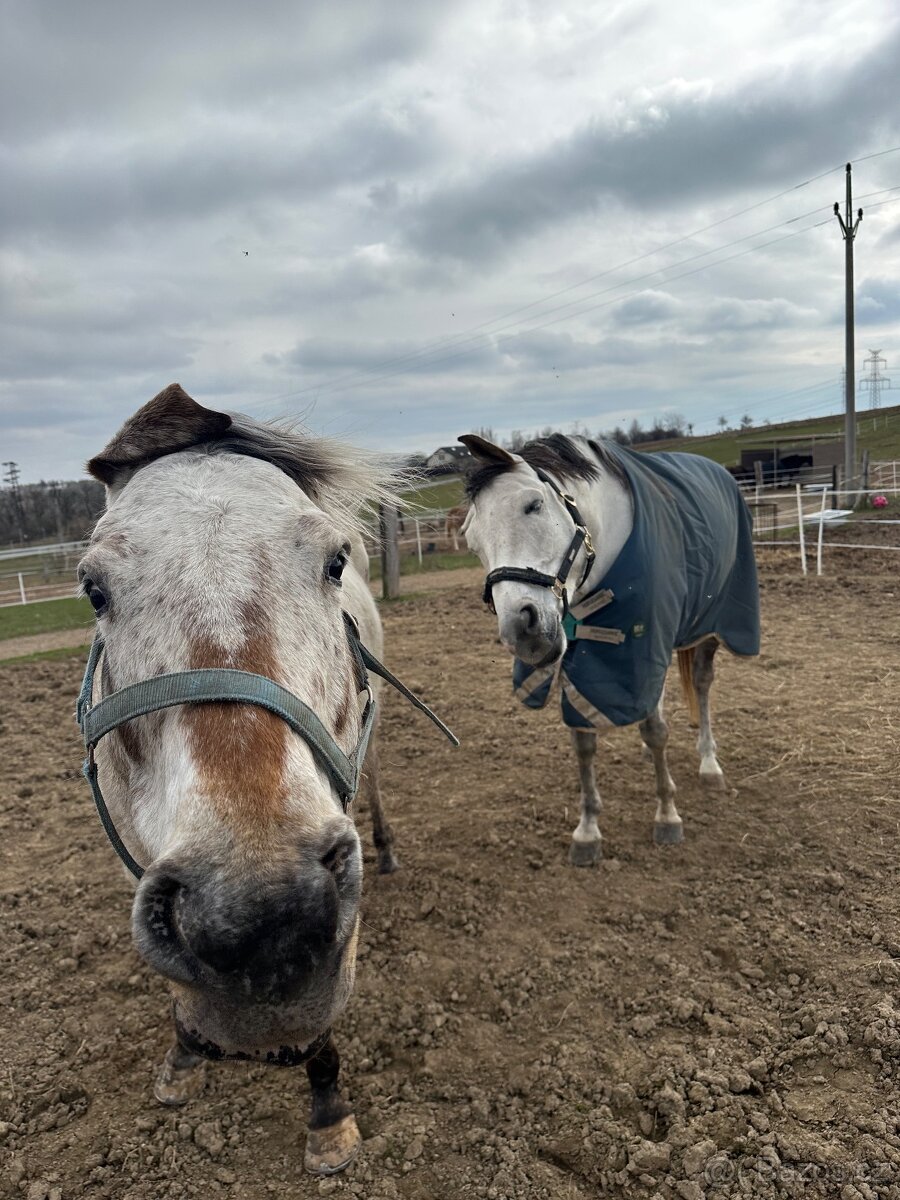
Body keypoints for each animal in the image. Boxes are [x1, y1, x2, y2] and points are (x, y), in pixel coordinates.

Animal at [458, 432, 763, 864]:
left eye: (533, 505)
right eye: (472, 540)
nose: (522, 629)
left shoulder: (643, 644)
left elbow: (656, 731)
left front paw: (667, 814)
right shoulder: (590, 661)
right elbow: (584, 741)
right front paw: (588, 830)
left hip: (710, 628)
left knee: (702, 685)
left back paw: (709, 762)